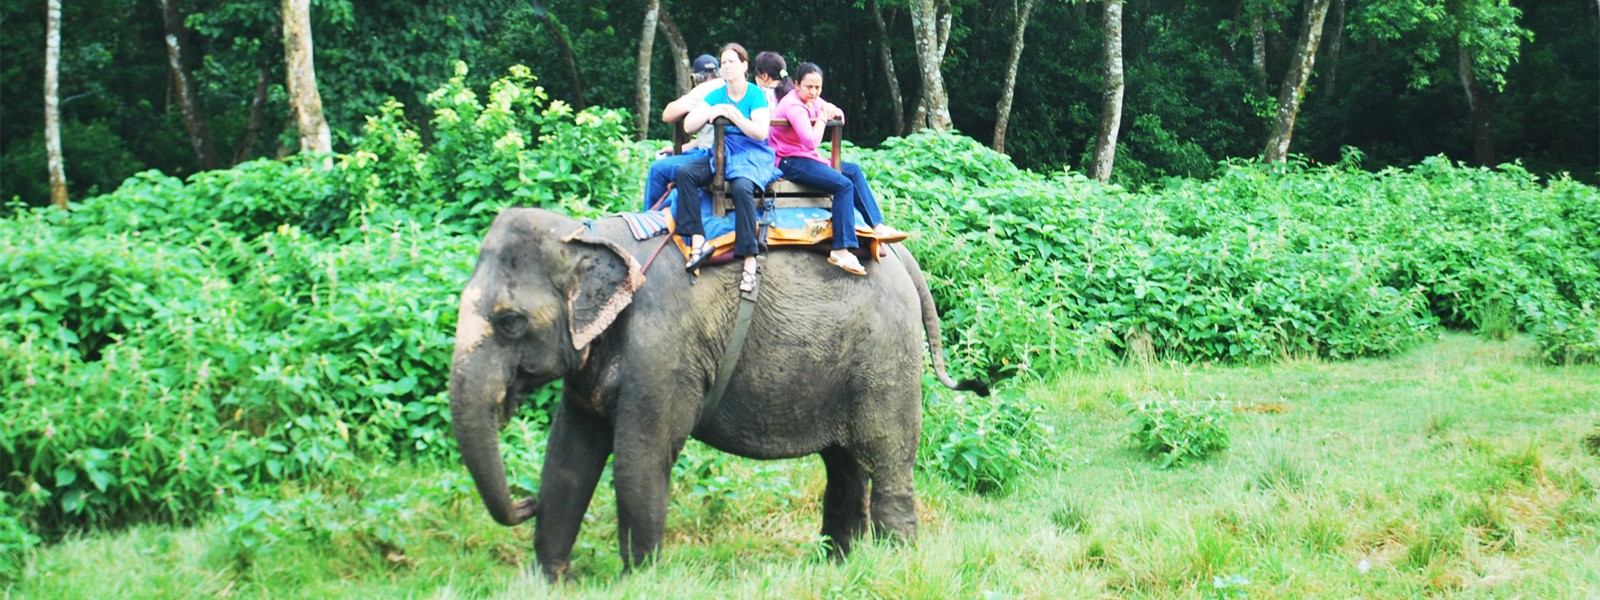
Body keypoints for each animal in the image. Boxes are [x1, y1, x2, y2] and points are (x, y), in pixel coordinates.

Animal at [444, 208, 979, 582]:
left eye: (509, 321)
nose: (523, 503)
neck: (588, 235)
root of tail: (901, 255)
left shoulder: (664, 348)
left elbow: (640, 456)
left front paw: (640, 582)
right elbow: (568, 457)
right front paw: (549, 580)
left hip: (886, 355)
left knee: (887, 460)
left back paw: (897, 564)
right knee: (844, 466)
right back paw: (836, 568)